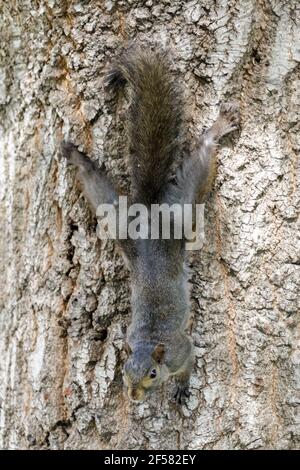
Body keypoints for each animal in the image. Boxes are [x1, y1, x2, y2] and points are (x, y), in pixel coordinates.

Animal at [59, 46, 240, 404]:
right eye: (123, 370)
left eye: (153, 374)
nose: (133, 397)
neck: (148, 344)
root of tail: (149, 216)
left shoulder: (183, 349)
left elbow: (188, 362)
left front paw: (182, 387)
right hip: (118, 222)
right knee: (98, 186)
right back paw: (76, 158)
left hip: (181, 210)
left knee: (200, 162)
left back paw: (218, 129)